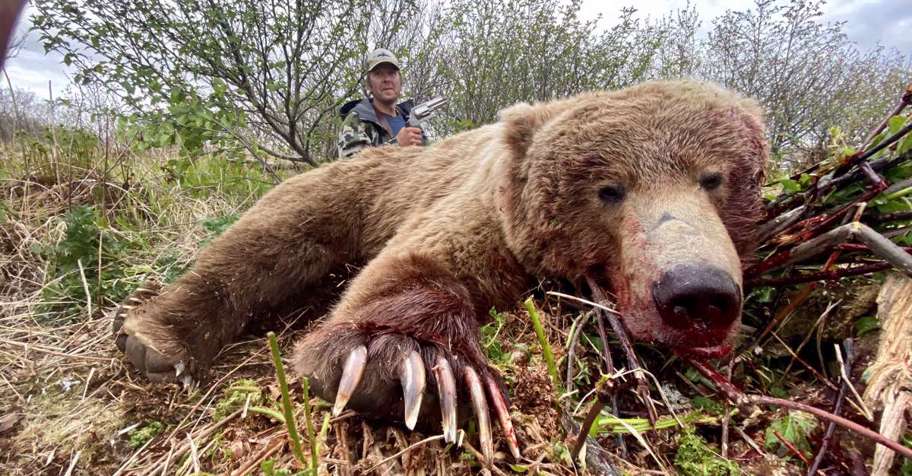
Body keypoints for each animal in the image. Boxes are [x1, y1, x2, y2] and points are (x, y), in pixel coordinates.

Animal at [113, 80, 768, 460]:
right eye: (610, 189)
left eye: (714, 178)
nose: (697, 292)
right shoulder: (482, 213)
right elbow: (423, 263)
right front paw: (418, 370)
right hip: (348, 191)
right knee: (263, 245)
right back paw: (154, 340)